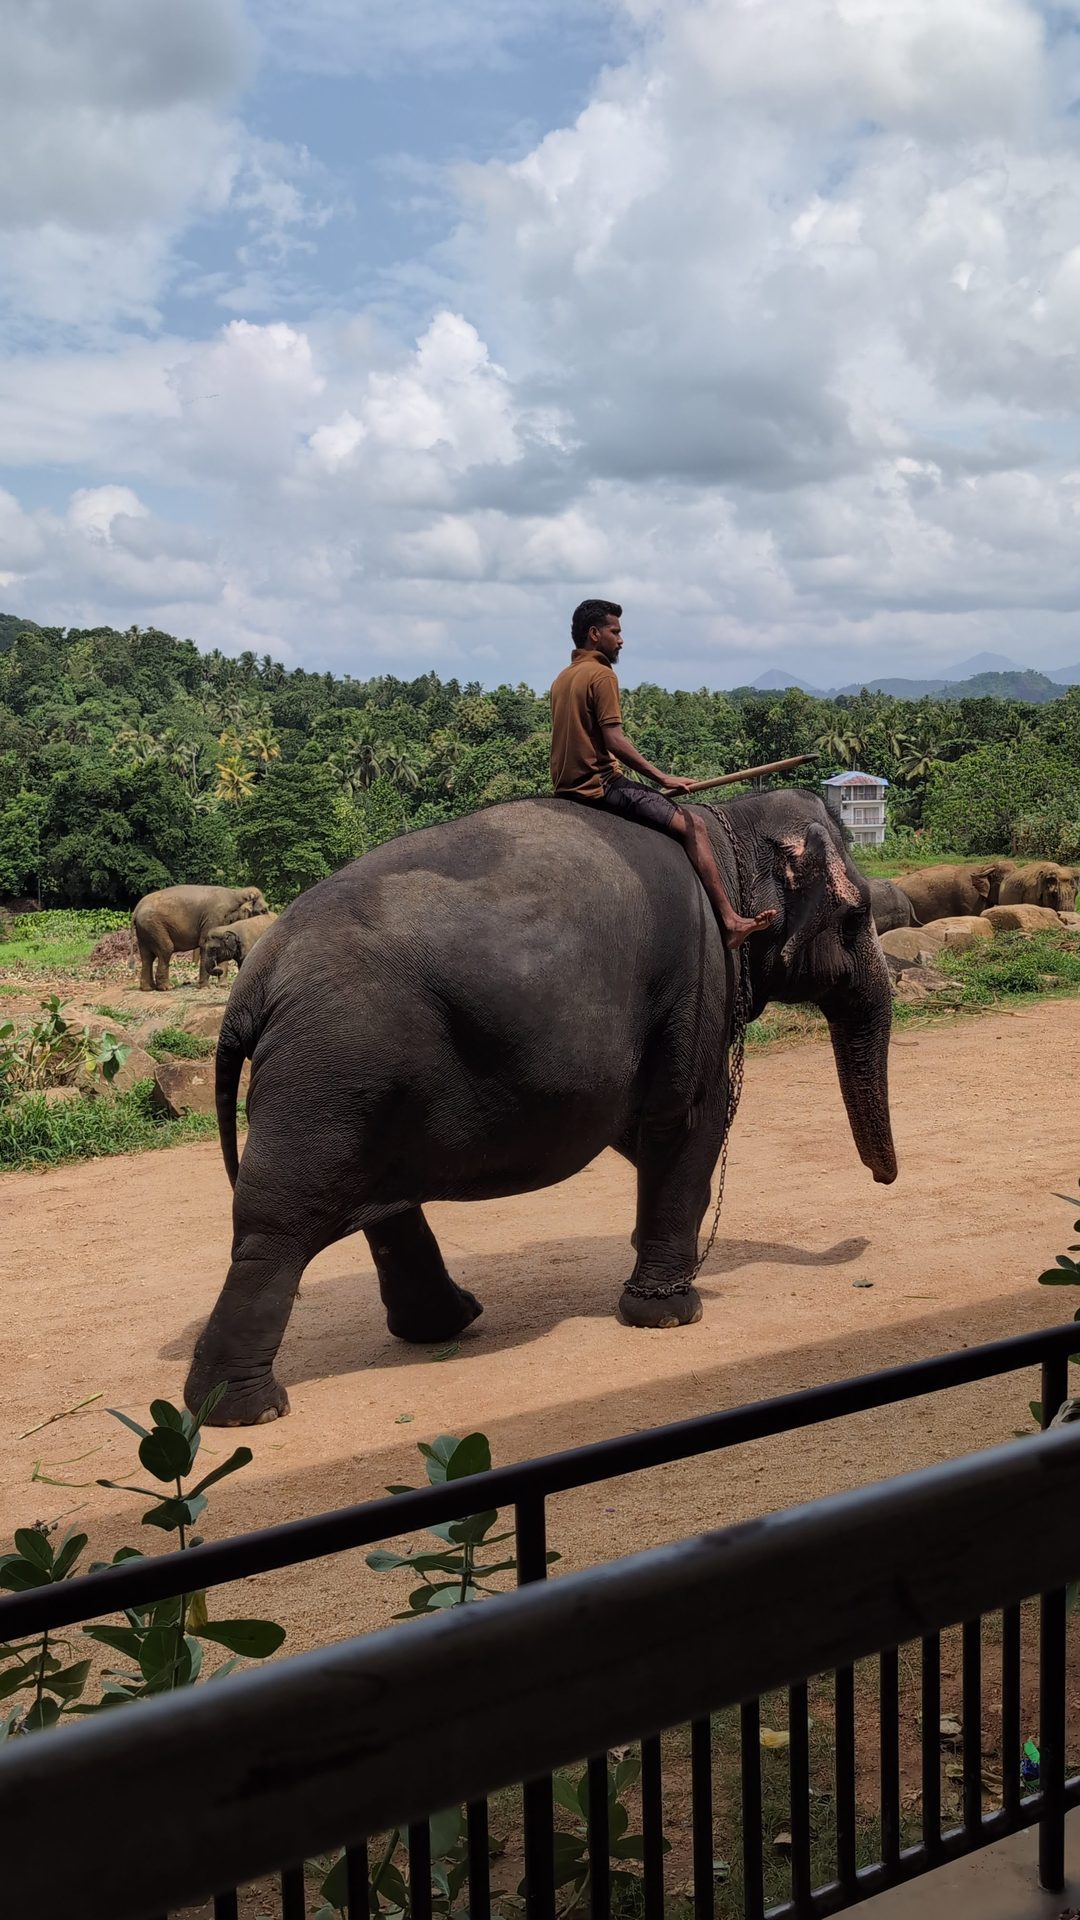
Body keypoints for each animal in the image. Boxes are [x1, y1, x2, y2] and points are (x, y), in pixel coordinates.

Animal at [133, 885, 268, 992]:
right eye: (263, 910)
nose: (217, 969)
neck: (237, 893)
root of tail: (136, 909)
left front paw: (223, 986)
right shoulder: (214, 917)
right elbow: (204, 944)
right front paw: (206, 987)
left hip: (145, 930)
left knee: (147, 956)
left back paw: (147, 988)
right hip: (153, 925)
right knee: (166, 949)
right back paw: (167, 987)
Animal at [185, 788, 898, 1427]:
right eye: (858, 912)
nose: (882, 1182)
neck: (730, 822)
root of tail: (253, 985)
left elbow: (641, 1127)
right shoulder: (701, 980)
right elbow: (691, 1117)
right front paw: (669, 1315)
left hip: (354, 1086)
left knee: (377, 1204)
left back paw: (445, 1325)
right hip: (331, 1074)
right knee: (276, 1226)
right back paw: (246, 1412)